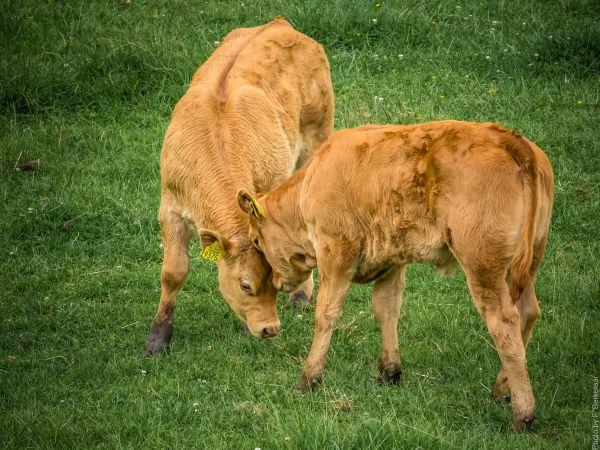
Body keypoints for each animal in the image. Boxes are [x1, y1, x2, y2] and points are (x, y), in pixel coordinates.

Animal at [144, 16, 336, 356]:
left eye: (275, 283)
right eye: (245, 284)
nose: (270, 329)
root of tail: (280, 24)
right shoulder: (170, 207)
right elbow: (173, 272)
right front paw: (158, 336)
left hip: (318, 134)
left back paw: (302, 295)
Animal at [238, 119, 552, 428]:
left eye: (256, 240)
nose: (276, 282)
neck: (313, 181)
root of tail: (512, 142)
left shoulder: (336, 253)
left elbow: (326, 314)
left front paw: (309, 378)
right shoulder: (393, 260)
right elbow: (386, 308)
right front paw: (390, 371)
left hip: (483, 269)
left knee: (504, 323)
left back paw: (523, 413)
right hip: (523, 265)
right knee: (527, 312)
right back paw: (502, 389)